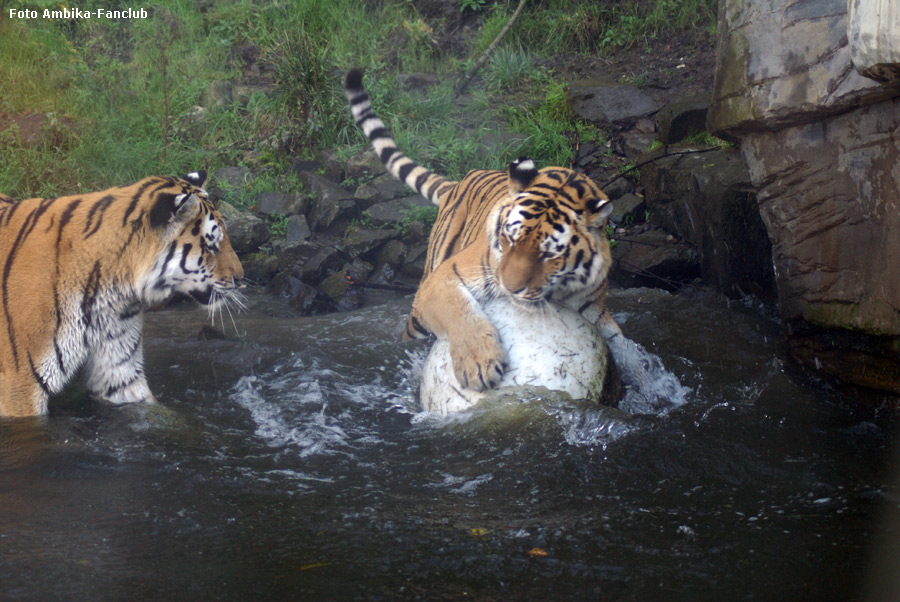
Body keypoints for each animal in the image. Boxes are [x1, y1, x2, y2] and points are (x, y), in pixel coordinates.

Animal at [344, 68, 624, 392]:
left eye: (549, 255)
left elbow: (629, 353)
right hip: (423, 299)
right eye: (509, 239)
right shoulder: (446, 277)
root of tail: (459, 181)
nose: (509, 288)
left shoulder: (596, 310)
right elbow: (459, 310)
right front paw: (479, 363)